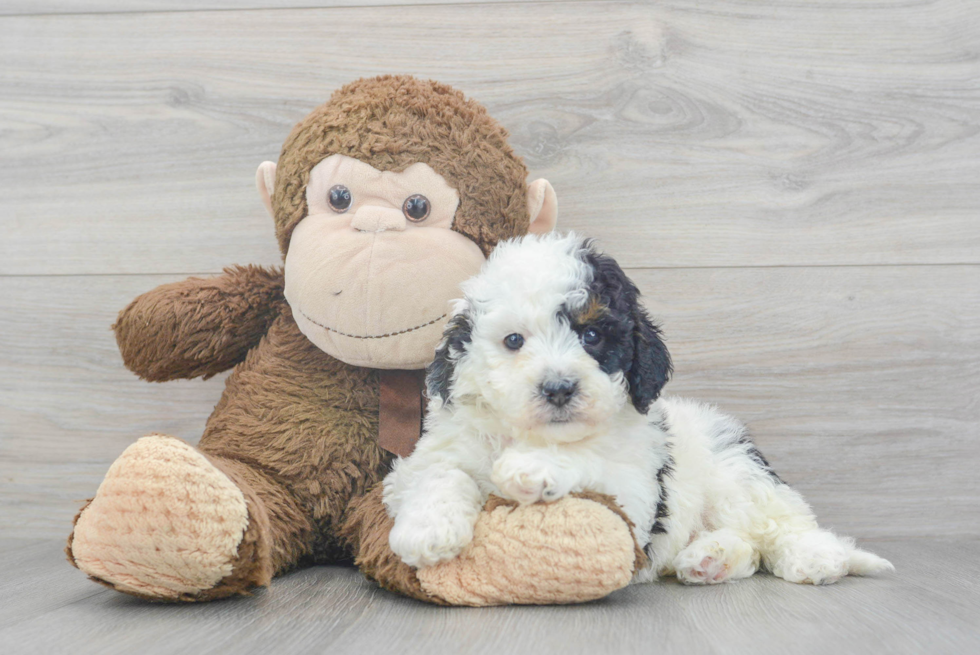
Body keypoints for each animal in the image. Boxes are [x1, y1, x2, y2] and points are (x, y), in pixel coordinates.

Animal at [384, 233, 896, 588]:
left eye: (592, 336)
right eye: (514, 341)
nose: (558, 388)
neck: (531, 432)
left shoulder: (634, 495)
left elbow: (590, 459)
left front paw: (534, 467)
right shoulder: (433, 454)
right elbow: (441, 473)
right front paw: (428, 531)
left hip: (737, 474)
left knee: (785, 525)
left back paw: (815, 558)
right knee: (748, 549)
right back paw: (709, 559)